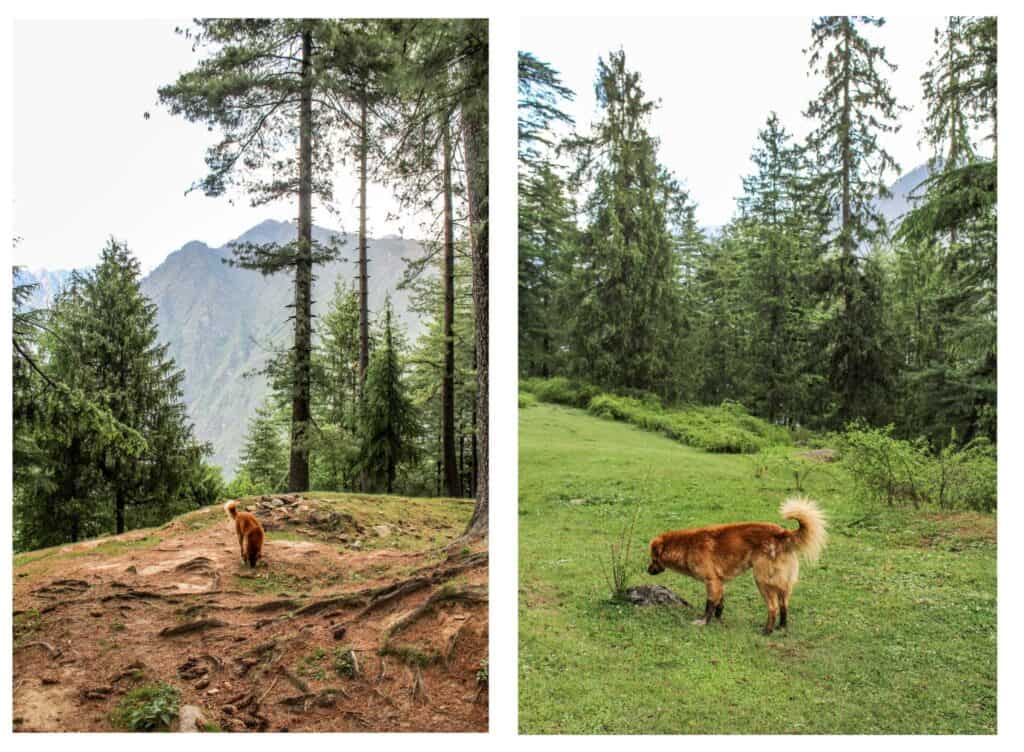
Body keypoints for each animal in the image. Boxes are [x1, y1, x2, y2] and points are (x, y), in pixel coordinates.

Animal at [651, 499, 827, 635]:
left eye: (652, 558)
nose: (648, 570)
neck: (686, 546)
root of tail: (782, 533)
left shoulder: (711, 581)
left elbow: (709, 605)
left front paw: (704, 622)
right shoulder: (719, 581)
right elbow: (719, 603)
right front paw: (718, 619)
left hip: (762, 580)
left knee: (773, 607)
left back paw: (767, 631)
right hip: (782, 583)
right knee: (784, 605)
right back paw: (781, 627)